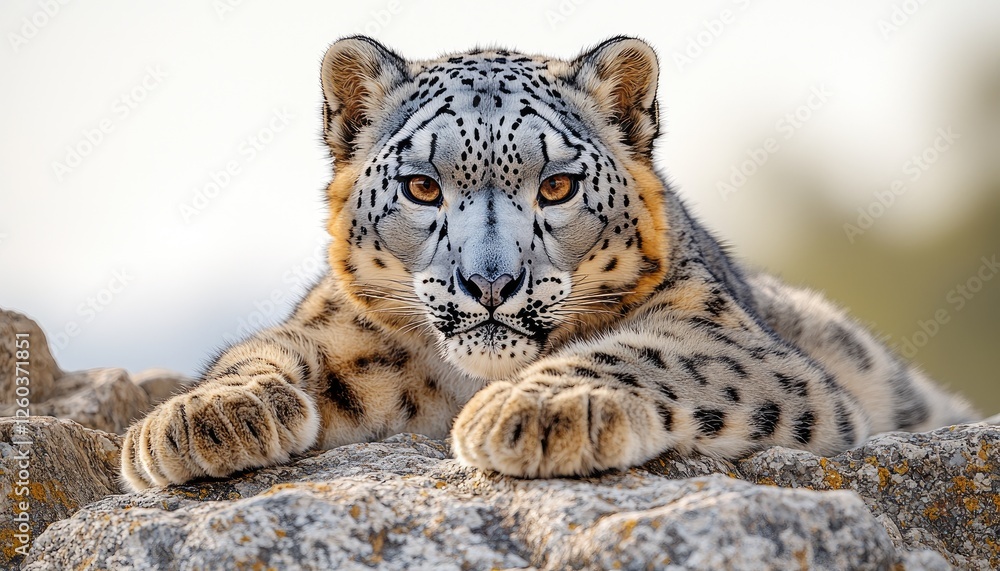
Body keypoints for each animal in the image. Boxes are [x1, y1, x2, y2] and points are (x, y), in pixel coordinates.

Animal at [121, 36, 977, 491]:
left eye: (557, 183)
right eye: (422, 184)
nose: (491, 283)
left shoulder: (736, 339)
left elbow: (650, 351)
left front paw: (539, 411)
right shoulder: (341, 330)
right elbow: (263, 350)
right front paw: (200, 417)